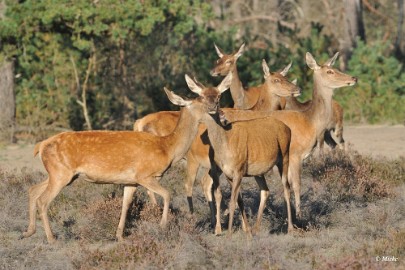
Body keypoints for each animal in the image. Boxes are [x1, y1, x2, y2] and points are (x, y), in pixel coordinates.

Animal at [22, 73, 232, 243]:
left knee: (33, 190)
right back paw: (51, 238)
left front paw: (119, 236)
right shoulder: (144, 175)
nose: (222, 116)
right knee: (43, 200)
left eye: (217, 98)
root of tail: (41, 145)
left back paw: (28, 231)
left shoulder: (130, 181)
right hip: (61, 174)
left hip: (60, 174)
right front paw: (163, 226)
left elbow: (125, 205)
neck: (167, 148)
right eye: (204, 101)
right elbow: (167, 194)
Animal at [133, 59, 300, 232]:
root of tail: (138, 123)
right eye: (276, 80)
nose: (297, 89)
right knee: (187, 185)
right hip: (188, 160)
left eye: (285, 76)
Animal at [218, 51, 356, 218]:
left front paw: (286, 214)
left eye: (334, 68)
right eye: (330, 71)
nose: (353, 78)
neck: (309, 122)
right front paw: (299, 215)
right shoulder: (295, 154)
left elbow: (287, 184)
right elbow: (296, 184)